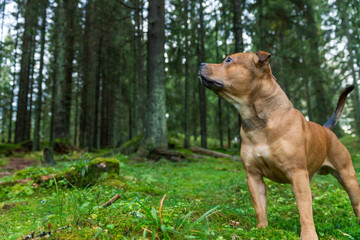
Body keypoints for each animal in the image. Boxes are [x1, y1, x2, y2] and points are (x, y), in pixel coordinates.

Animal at [198, 50, 360, 238]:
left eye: (229, 60)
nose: (201, 63)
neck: (258, 122)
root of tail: (326, 130)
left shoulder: (297, 173)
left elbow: (304, 210)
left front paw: (308, 235)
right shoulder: (253, 176)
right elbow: (260, 207)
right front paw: (262, 229)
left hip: (347, 176)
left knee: (354, 201)